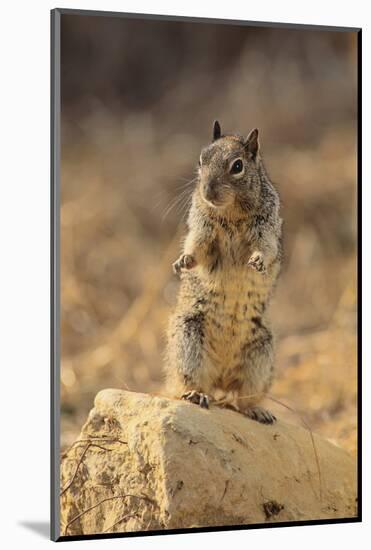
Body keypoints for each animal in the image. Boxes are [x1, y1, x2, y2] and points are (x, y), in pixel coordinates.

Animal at [164, 122, 284, 426]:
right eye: (200, 160)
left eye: (237, 166)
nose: (207, 191)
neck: (230, 212)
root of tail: (220, 376)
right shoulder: (202, 231)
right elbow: (198, 249)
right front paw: (183, 261)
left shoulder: (266, 230)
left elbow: (266, 249)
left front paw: (258, 261)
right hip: (189, 342)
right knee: (189, 383)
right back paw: (196, 394)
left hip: (260, 356)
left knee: (240, 398)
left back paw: (257, 410)